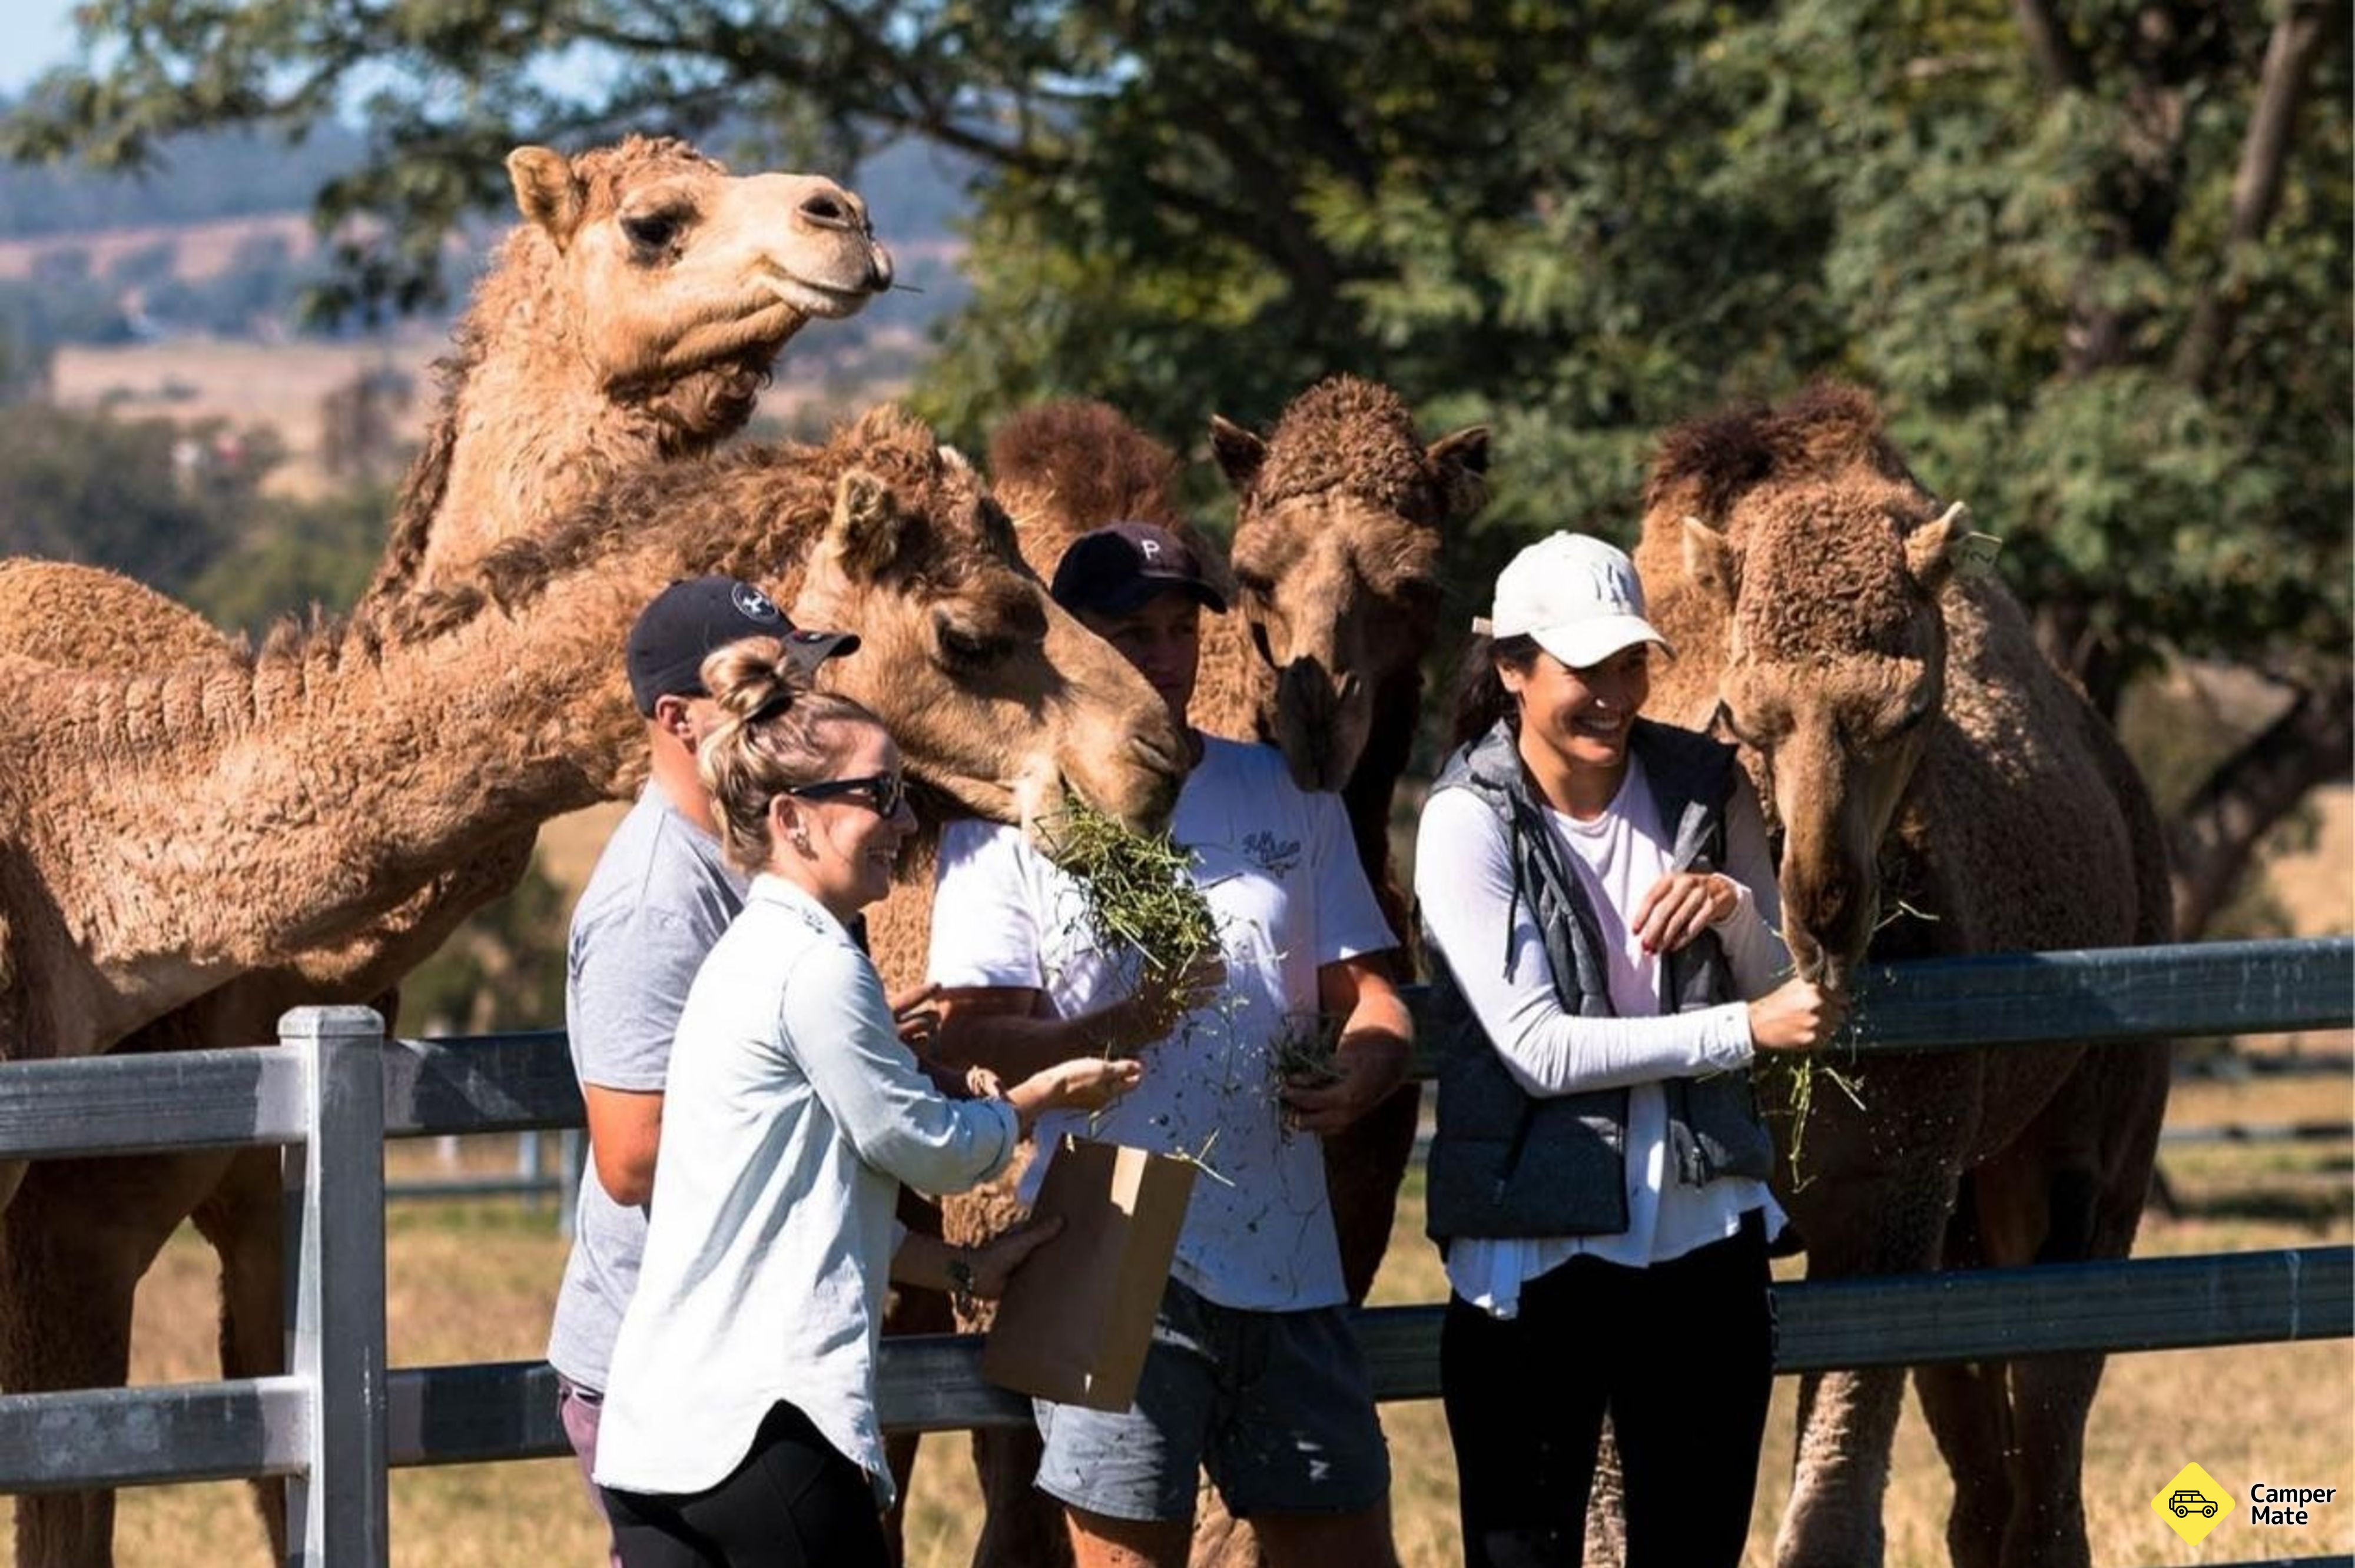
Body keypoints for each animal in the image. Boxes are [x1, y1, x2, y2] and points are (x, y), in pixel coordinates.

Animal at [1628, 383, 2172, 1568]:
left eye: (1911, 713)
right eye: (1741, 714)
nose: (1825, 909)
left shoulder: (1890, 1196)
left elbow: (1832, 1516)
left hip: (2091, 1150)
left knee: (2049, 1434)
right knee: (1989, 1471)